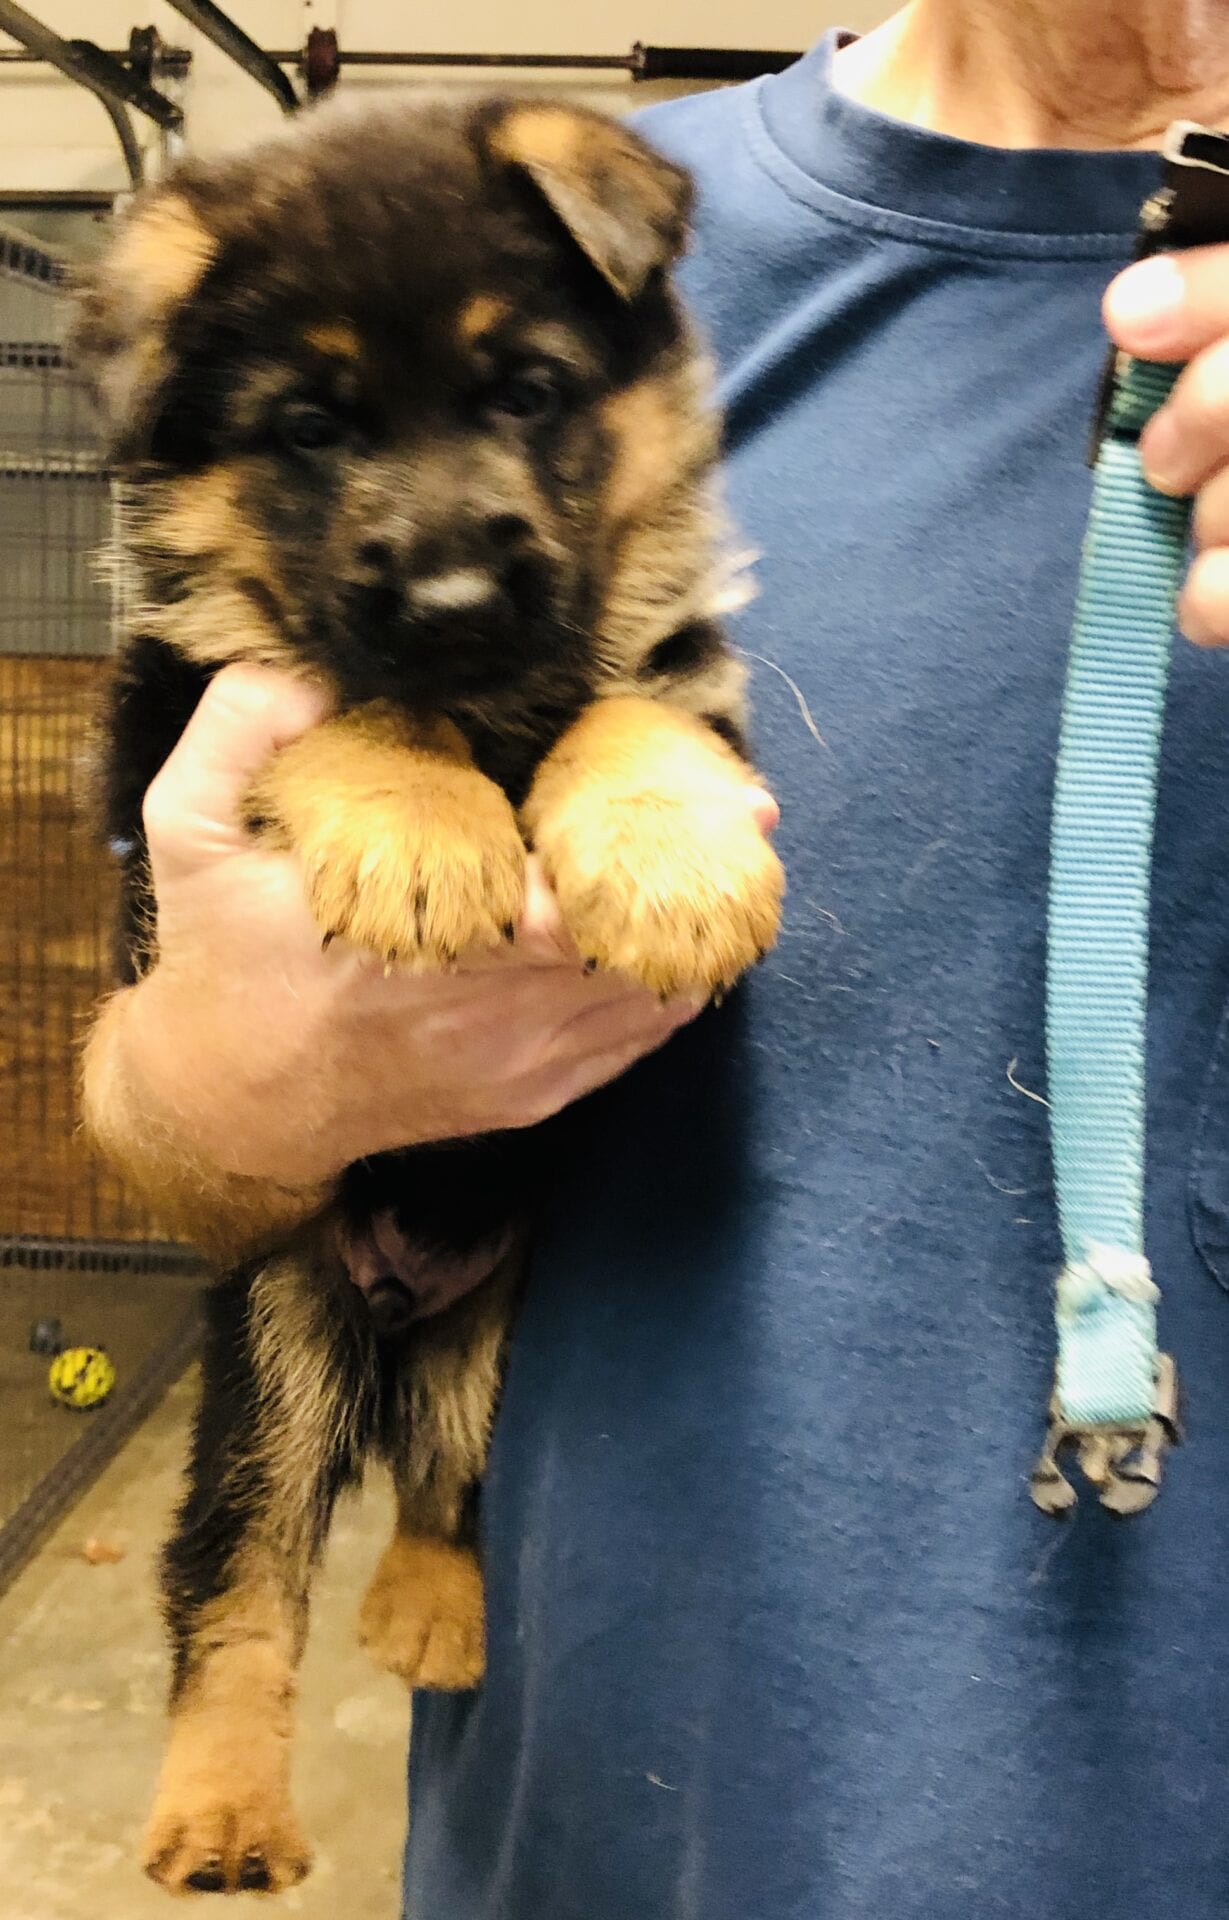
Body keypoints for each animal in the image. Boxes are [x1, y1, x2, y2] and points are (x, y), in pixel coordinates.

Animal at [79, 90, 787, 1889]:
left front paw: (670, 866)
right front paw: (418, 831)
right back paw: (221, 1807)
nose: (458, 601)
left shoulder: (678, 666)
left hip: (493, 1325)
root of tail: (393, 1311)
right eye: (309, 427)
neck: (490, 702)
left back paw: (430, 1617)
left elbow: (634, 701)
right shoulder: (184, 723)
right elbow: (343, 693)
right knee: (235, 1567)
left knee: (444, 1488)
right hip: (274, 1339)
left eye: (524, 390)